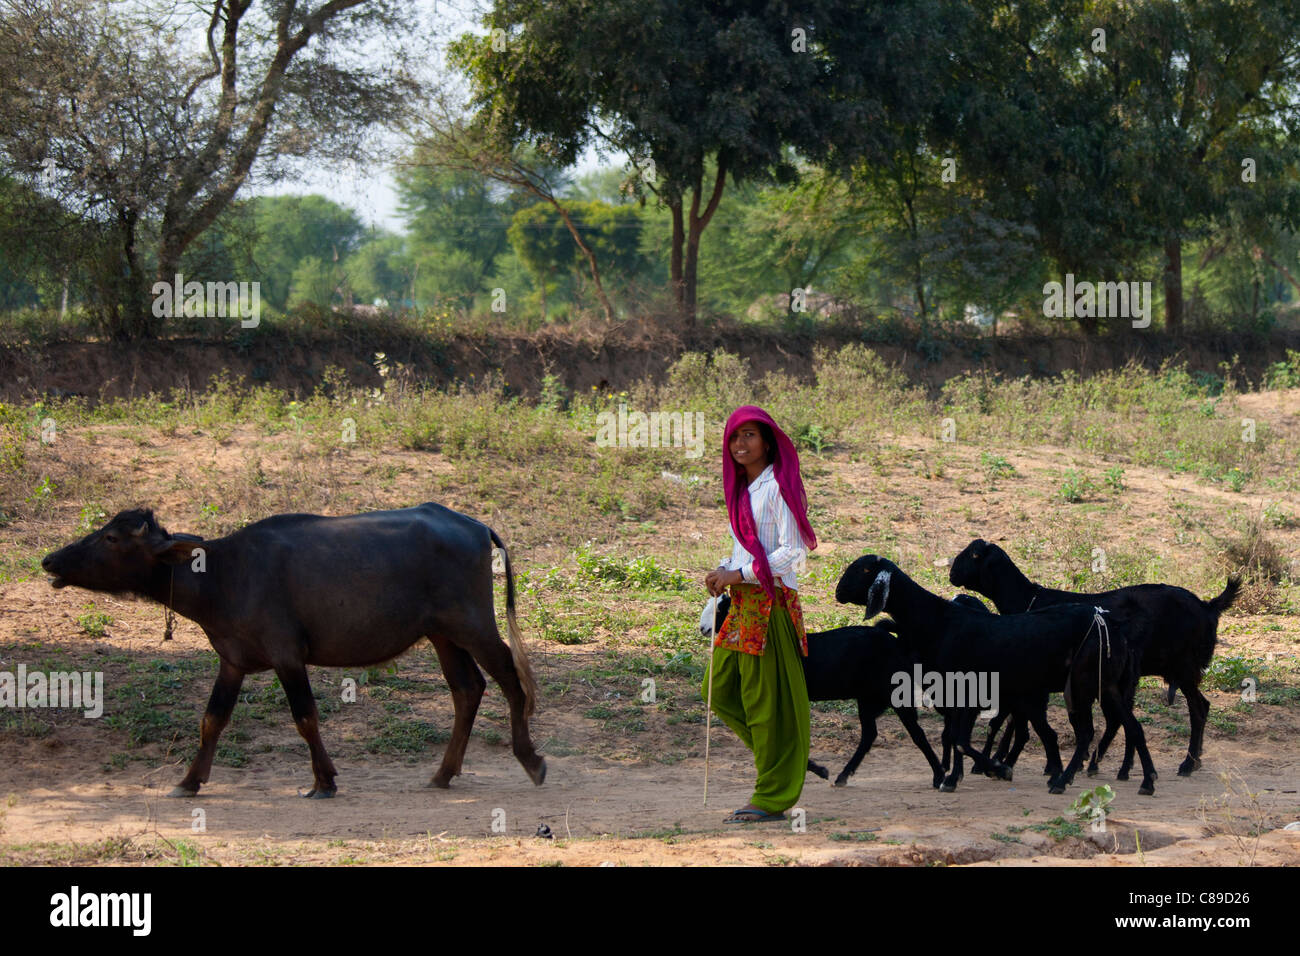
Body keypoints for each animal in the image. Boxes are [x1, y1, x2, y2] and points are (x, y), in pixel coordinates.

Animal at [41, 509, 543, 801]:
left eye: (112, 539)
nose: (50, 560)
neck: (223, 575)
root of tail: (475, 526)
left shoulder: (287, 656)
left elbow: (305, 718)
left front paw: (324, 781)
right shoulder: (233, 662)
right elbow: (212, 720)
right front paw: (188, 781)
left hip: (474, 624)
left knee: (511, 680)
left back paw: (531, 760)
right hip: (442, 635)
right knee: (468, 689)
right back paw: (443, 773)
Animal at [702, 595, 946, 790]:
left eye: (722, 608)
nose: (704, 628)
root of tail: (894, 642)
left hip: (895, 693)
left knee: (916, 733)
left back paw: (939, 776)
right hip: (867, 699)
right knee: (870, 735)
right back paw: (842, 776)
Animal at [956, 538, 1237, 780]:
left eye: (974, 554)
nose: (952, 573)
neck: (1028, 600)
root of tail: (1207, 606)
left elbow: (1016, 720)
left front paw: (1002, 761)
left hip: (1183, 668)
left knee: (1196, 709)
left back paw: (1186, 763)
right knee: (1198, 706)